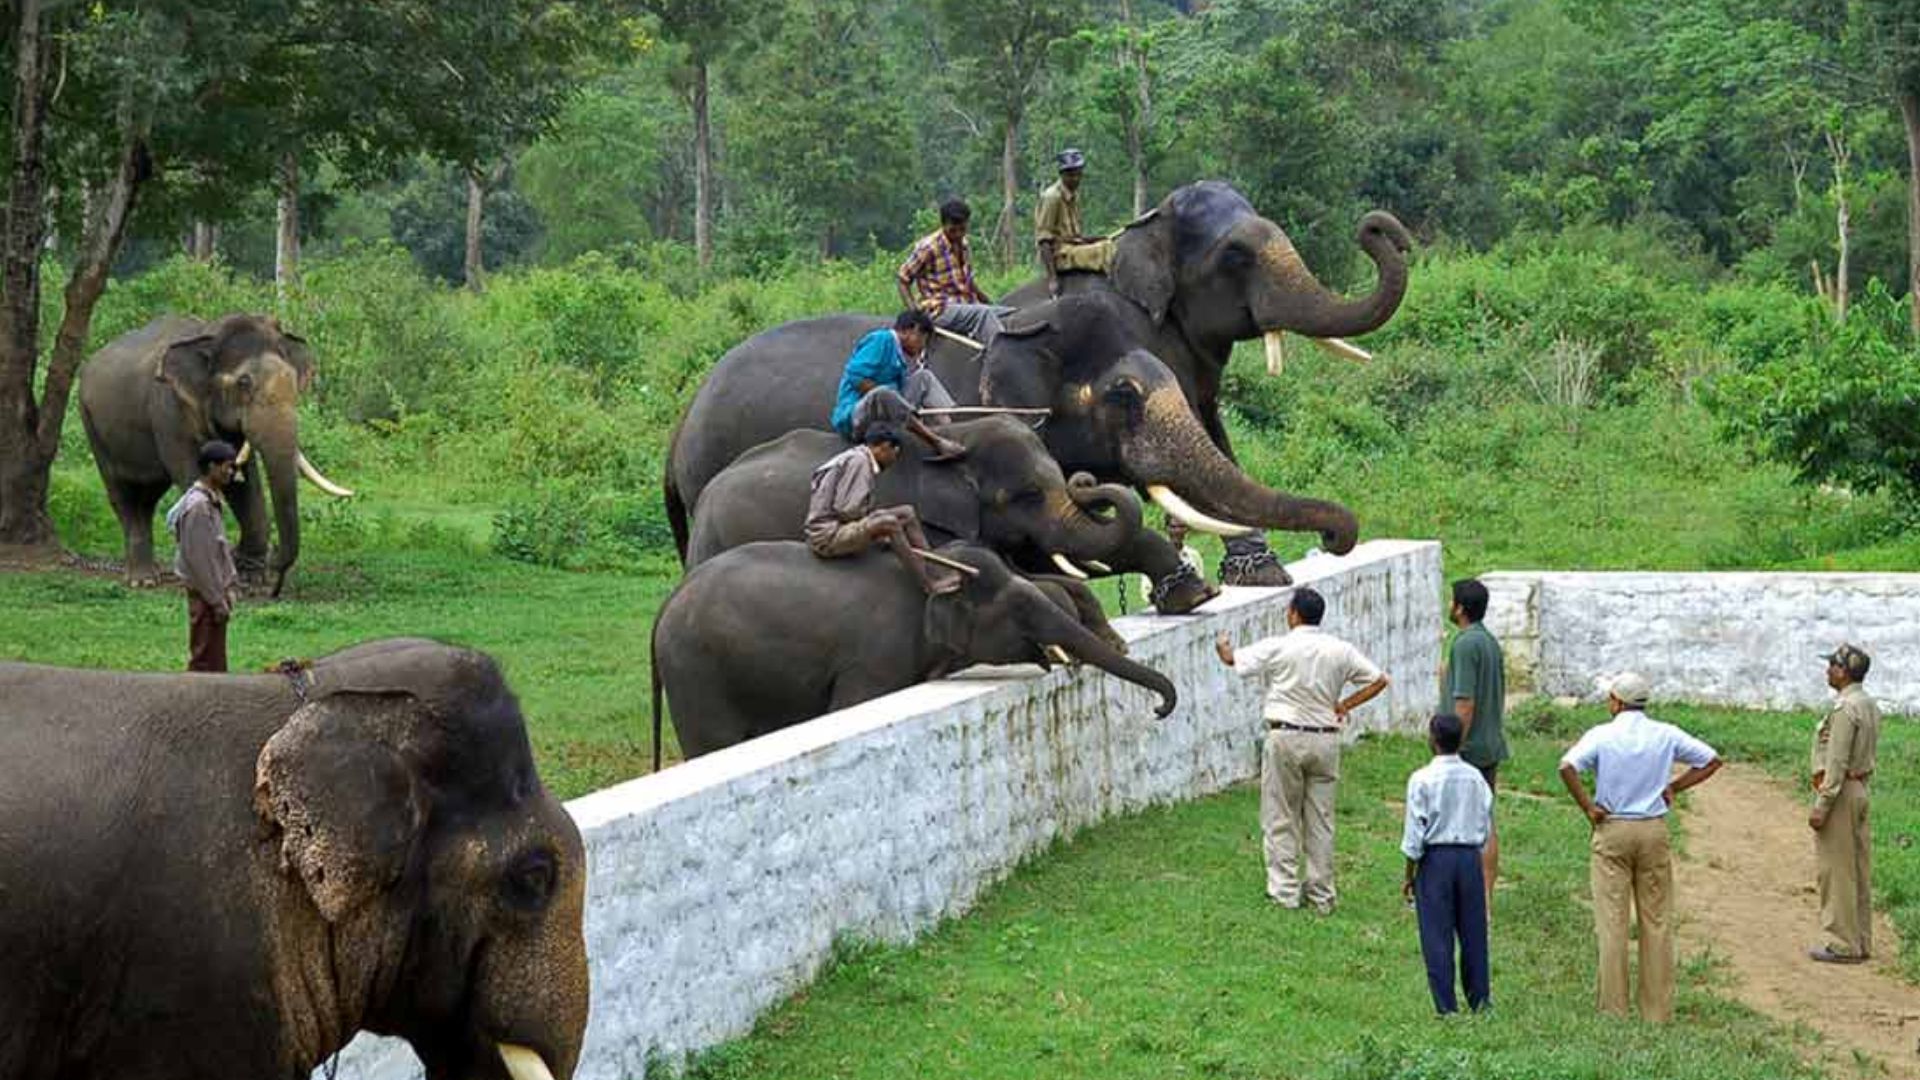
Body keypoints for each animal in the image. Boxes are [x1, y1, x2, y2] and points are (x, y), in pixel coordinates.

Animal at [78, 313, 355, 594]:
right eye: (244, 382)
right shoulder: (168, 409)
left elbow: (244, 481)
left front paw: (251, 578)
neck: (210, 332)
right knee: (122, 496)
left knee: (148, 498)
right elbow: (192, 474)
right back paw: (142, 580)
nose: (276, 569)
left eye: (292, 379)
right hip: (91, 424)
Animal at [650, 541, 1177, 762]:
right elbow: (850, 705)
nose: (1158, 709)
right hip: (697, 673)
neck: (937, 570)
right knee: (713, 742)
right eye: (1021, 609)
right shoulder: (873, 658)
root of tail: (663, 610)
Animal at [997, 181, 1414, 584]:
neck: (1147, 230)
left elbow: (1213, 430)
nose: (1377, 228)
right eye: (1235, 256)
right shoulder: (1142, 340)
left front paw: (1263, 573)